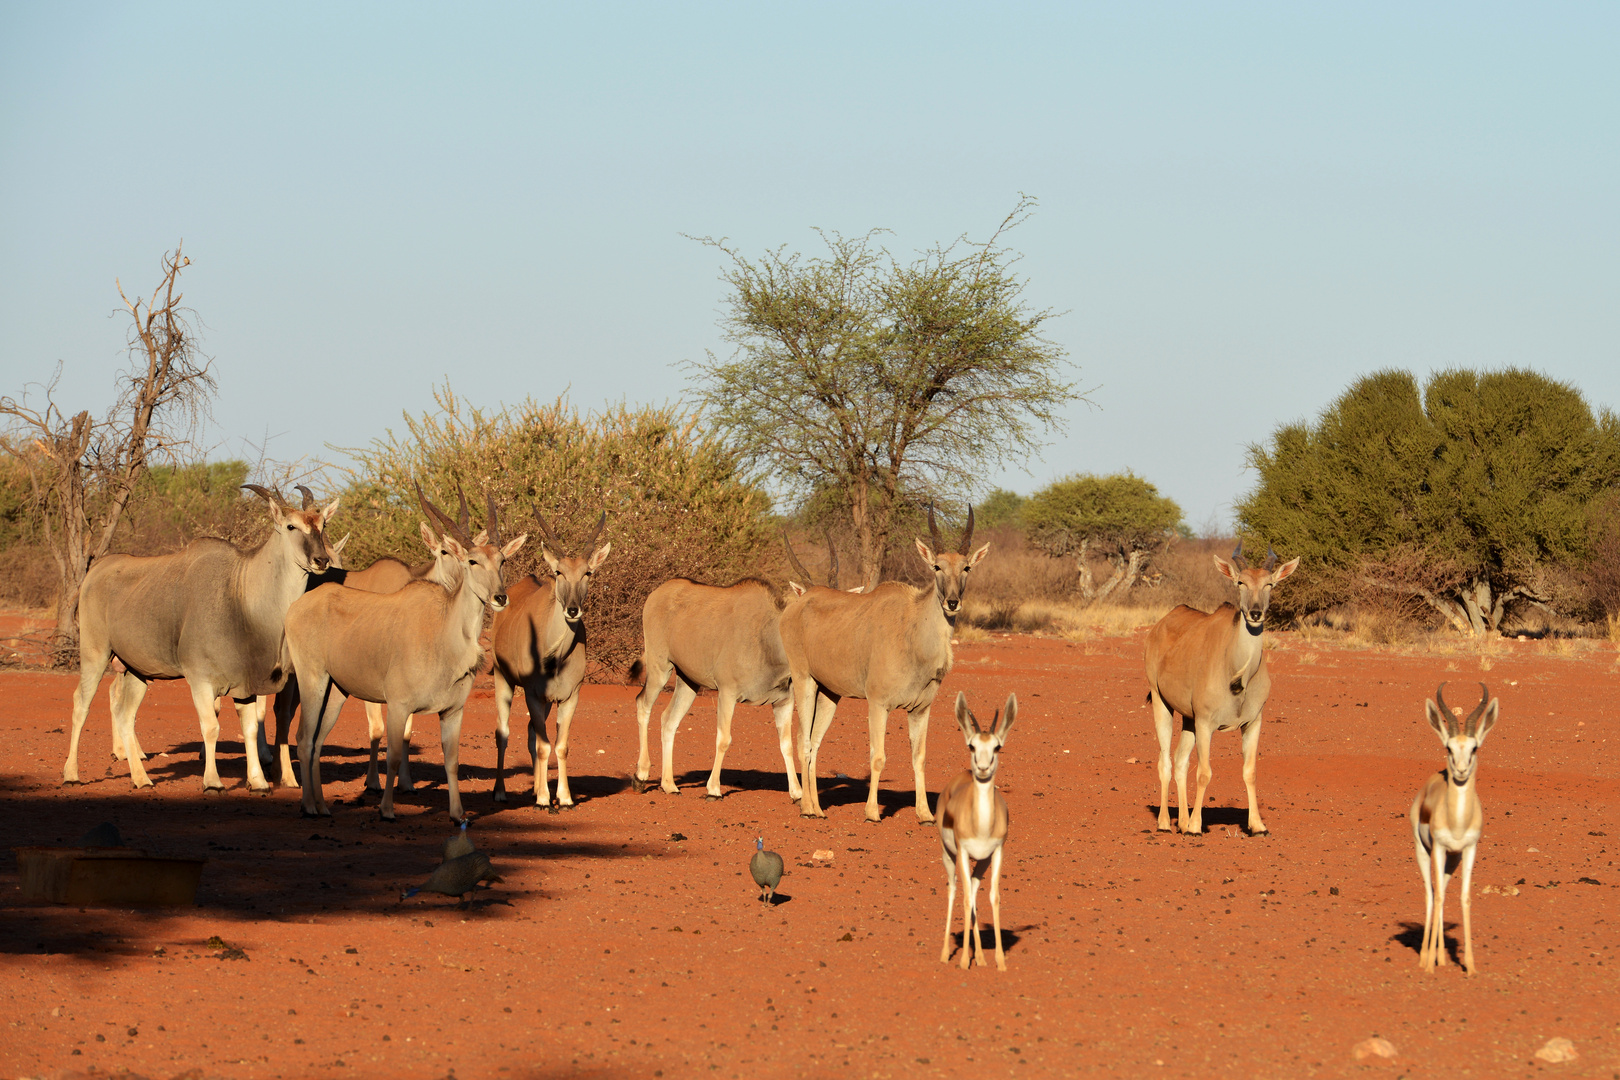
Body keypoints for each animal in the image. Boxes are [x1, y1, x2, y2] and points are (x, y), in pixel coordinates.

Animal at [65, 485, 338, 790]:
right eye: (291, 526)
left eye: (322, 525)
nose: (321, 560)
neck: (239, 593)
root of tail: (96, 570)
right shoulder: (200, 680)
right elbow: (211, 727)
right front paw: (213, 781)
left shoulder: (245, 687)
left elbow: (250, 728)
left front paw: (258, 782)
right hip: (95, 654)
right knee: (81, 704)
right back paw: (72, 774)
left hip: (137, 672)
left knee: (125, 715)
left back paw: (141, 778)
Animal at [489, 511, 609, 806]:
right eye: (558, 572)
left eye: (588, 573)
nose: (573, 610)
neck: (556, 657)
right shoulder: (533, 695)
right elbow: (544, 746)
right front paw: (544, 798)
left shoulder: (569, 697)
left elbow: (560, 746)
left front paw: (563, 797)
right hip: (502, 679)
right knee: (503, 733)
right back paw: (501, 791)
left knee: (532, 732)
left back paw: (535, 787)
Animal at [780, 501, 991, 822]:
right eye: (936, 566)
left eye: (966, 567)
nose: (952, 602)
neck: (912, 630)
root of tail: (797, 606)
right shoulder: (878, 704)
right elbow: (877, 756)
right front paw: (872, 812)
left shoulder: (920, 710)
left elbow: (919, 757)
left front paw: (925, 813)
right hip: (805, 681)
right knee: (803, 738)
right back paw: (806, 808)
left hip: (829, 693)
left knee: (813, 741)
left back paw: (817, 808)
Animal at [1140, 540, 1302, 835]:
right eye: (1240, 582)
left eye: (1270, 584)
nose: (1255, 613)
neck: (1237, 674)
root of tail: (1160, 625)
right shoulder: (1206, 723)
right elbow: (1204, 773)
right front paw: (1196, 825)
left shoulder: (1253, 723)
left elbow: (1249, 771)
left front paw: (1257, 825)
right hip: (1162, 703)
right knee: (1165, 761)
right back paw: (1166, 823)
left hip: (1188, 719)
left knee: (1180, 762)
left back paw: (1181, 822)